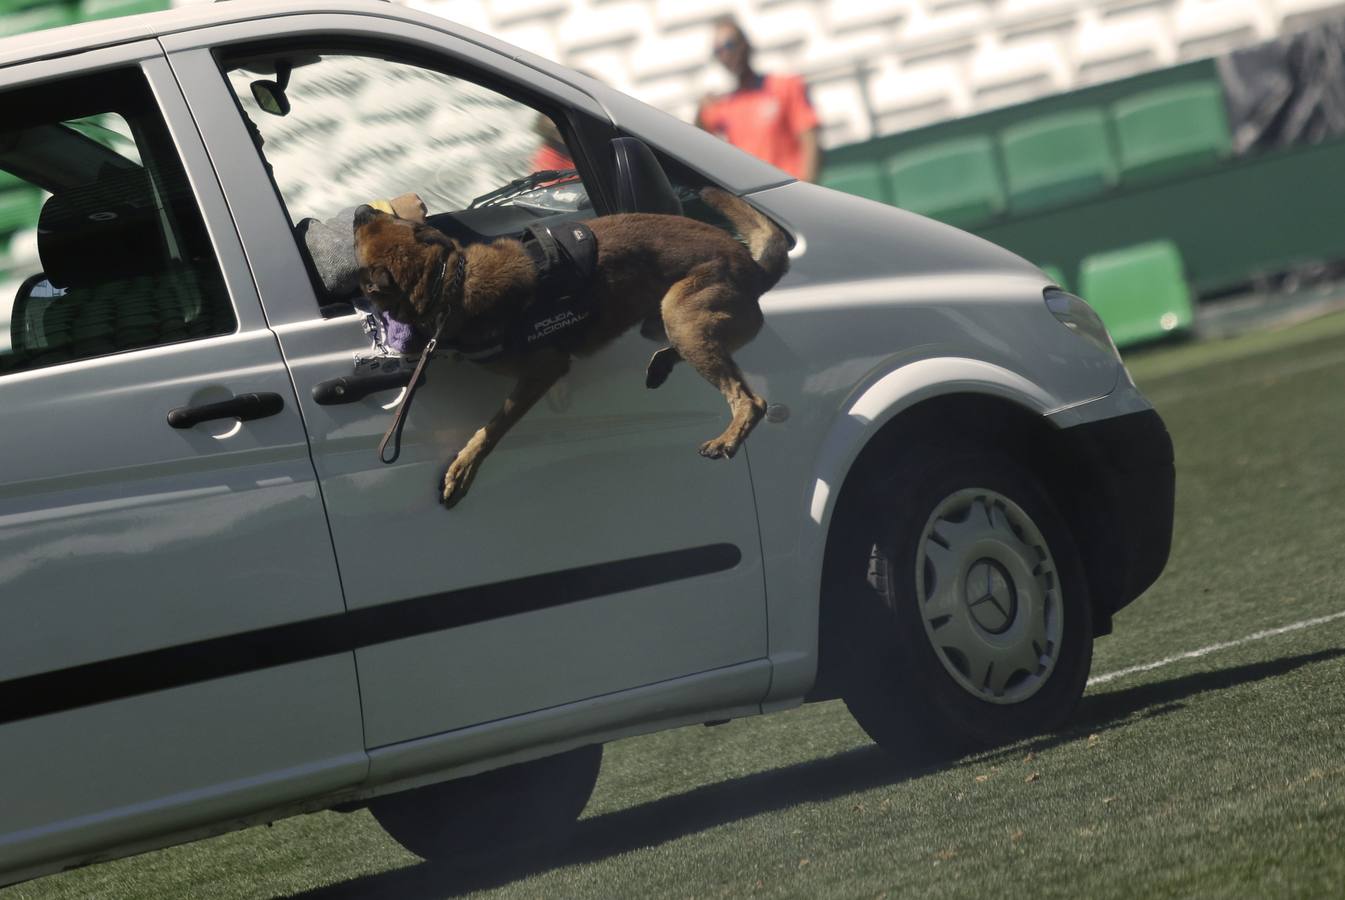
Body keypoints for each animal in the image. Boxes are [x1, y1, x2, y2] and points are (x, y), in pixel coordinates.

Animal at [352, 185, 785, 508]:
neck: (449, 280)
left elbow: (493, 428)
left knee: (750, 400)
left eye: (360, 240)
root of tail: (756, 270)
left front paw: (463, 470)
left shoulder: (544, 370)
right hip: (664, 319)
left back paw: (726, 439)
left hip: (681, 312)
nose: (359, 208)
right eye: (393, 219)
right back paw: (661, 366)